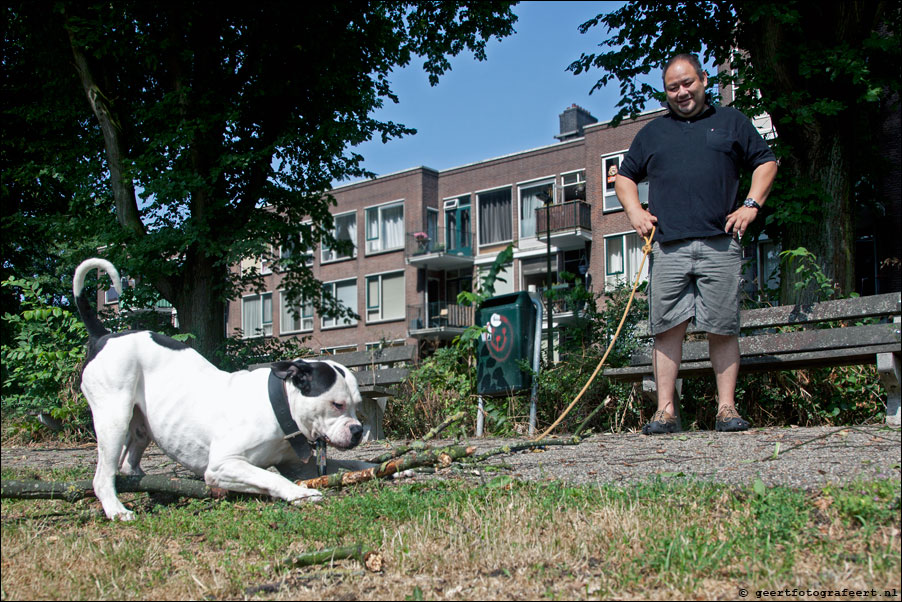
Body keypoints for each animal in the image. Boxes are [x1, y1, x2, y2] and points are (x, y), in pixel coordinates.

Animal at [74, 255, 376, 516]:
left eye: (357, 406)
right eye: (337, 405)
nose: (357, 430)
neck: (279, 408)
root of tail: (103, 336)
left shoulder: (295, 466)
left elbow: (348, 464)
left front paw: (376, 466)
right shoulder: (223, 465)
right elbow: (271, 477)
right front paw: (300, 494)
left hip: (139, 425)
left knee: (127, 462)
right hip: (114, 418)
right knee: (103, 475)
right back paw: (117, 509)